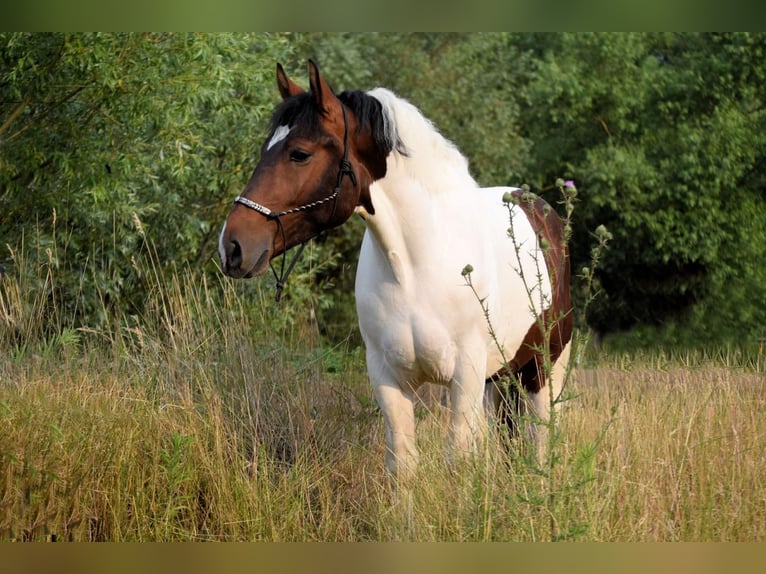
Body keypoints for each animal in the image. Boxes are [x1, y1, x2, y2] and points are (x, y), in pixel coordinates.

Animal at [219, 59, 572, 482]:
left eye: (299, 154)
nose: (232, 246)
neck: (415, 267)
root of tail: (539, 209)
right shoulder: (388, 379)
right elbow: (402, 463)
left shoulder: (465, 377)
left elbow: (458, 460)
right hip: (500, 376)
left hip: (545, 368)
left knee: (541, 440)